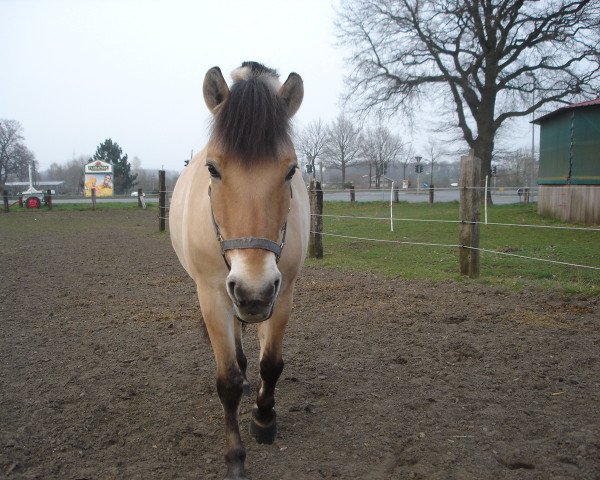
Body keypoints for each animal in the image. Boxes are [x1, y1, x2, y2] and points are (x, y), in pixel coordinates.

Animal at [169, 62, 310, 478]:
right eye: (213, 169)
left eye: (291, 170)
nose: (253, 290)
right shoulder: (214, 296)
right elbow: (228, 381)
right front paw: (235, 458)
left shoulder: (282, 292)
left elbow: (271, 364)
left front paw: (264, 419)